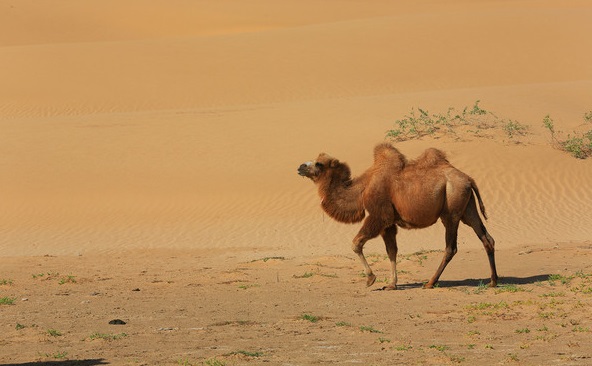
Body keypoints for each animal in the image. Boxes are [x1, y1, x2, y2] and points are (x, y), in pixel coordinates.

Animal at [298, 142, 498, 288]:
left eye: (319, 163)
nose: (300, 166)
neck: (362, 188)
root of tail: (469, 179)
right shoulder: (389, 223)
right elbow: (391, 251)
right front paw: (391, 284)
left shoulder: (379, 215)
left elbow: (356, 244)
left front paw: (370, 279)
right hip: (468, 208)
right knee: (486, 238)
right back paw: (493, 281)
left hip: (451, 211)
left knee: (451, 247)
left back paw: (430, 282)